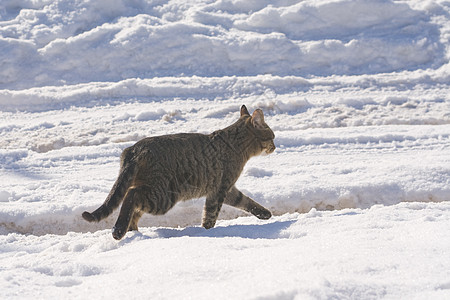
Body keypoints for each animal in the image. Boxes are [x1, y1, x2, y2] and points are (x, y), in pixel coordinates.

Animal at [82, 104, 276, 240]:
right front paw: (207, 232)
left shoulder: (227, 190)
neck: (234, 143)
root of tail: (135, 149)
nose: (275, 146)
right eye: (272, 136)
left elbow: (246, 201)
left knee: (133, 204)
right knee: (131, 195)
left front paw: (264, 213)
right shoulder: (220, 189)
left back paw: (132, 231)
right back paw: (119, 230)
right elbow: (210, 215)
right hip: (163, 196)